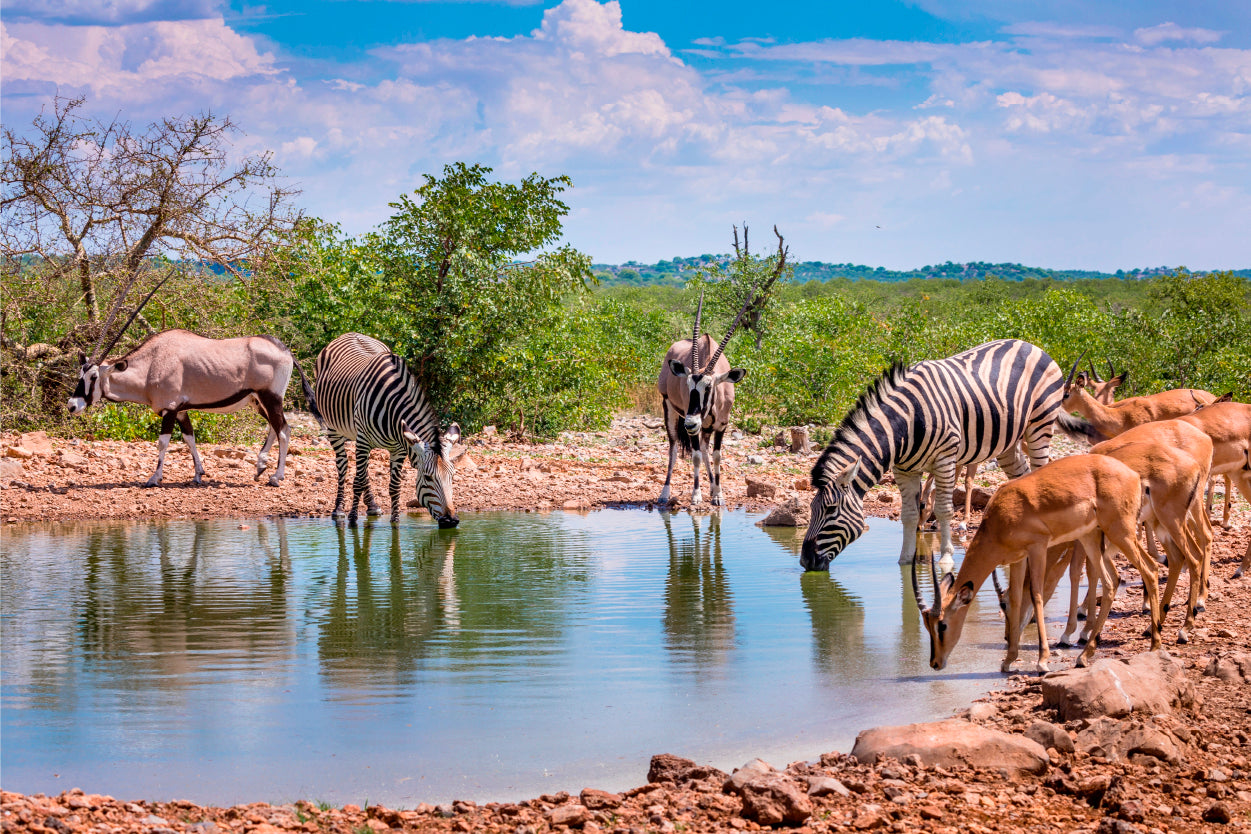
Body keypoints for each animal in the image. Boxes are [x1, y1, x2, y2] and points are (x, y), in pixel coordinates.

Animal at [68, 278, 316, 487]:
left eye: (93, 377)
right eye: (80, 374)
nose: (72, 405)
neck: (152, 363)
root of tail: (284, 350)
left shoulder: (169, 410)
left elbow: (163, 442)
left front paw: (154, 478)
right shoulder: (180, 411)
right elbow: (190, 439)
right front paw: (198, 474)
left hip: (270, 397)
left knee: (283, 430)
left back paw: (276, 476)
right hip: (257, 401)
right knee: (278, 427)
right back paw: (260, 467)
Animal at [314, 333, 461, 527]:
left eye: (452, 476)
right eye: (428, 477)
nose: (451, 521)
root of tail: (349, 334)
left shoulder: (399, 449)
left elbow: (394, 486)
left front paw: (395, 520)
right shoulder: (364, 439)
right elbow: (357, 482)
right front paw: (352, 521)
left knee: (364, 471)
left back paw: (372, 506)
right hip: (334, 428)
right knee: (343, 464)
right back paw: (338, 509)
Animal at [657, 228, 788, 506]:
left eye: (709, 387)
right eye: (688, 385)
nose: (690, 422)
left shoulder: (721, 425)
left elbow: (716, 456)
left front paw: (717, 494)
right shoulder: (692, 423)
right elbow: (695, 455)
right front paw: (696, 496)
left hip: (703, 427)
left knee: (706, 450)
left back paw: (711, 486)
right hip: (671, 411)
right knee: (673, 446)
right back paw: (665, 493)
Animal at [800, 339, 1094, 571]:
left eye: (830, 510)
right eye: (811, 509)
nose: (805, 561)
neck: (907, 423)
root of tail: (1031, 345)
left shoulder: (944, 458)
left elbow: (943, 509)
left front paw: (946, 559)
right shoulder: (904, 469)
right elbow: (908, 514)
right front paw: (905, 559)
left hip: (1039, 425)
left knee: (1041, 468)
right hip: (1008, 444)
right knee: (1021, 476)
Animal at [917, 454, 1160, 673]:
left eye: (942, 624)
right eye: (927, 624)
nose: (935, 663)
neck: (1001, 516)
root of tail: (1134, 476)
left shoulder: (1038, 548)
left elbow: (1037, 595)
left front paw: (1042, 661)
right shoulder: (1017, 559)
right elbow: (1017, 597)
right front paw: (1008, 661)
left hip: (1120, 533)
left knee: (1150, 569)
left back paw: (1155, 644)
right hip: (1092, 537)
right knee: (1112, 582)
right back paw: (1084, 656)